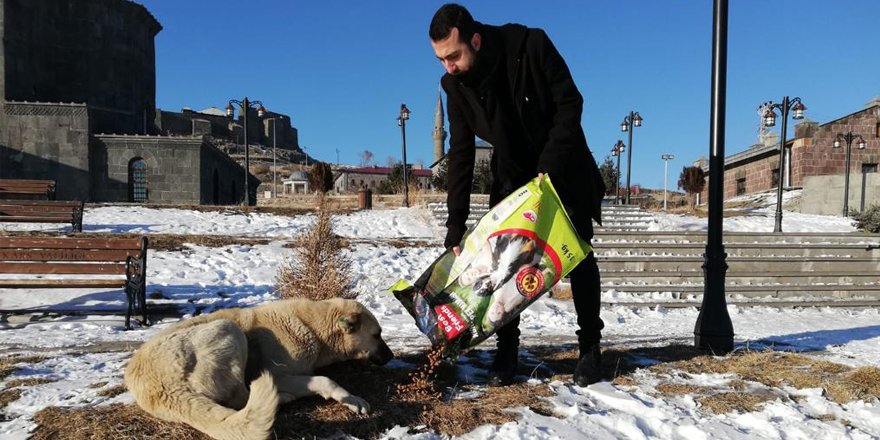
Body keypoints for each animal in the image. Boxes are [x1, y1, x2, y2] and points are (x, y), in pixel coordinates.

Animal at [124, 298, 396, 440]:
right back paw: (282, 398)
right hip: (228, 329)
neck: (313, 328)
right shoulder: (279, 375)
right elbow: (324, 380)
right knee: (241, 397)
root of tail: (160, 388)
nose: (392, 356)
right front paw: (351, 398)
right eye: (377, 334)